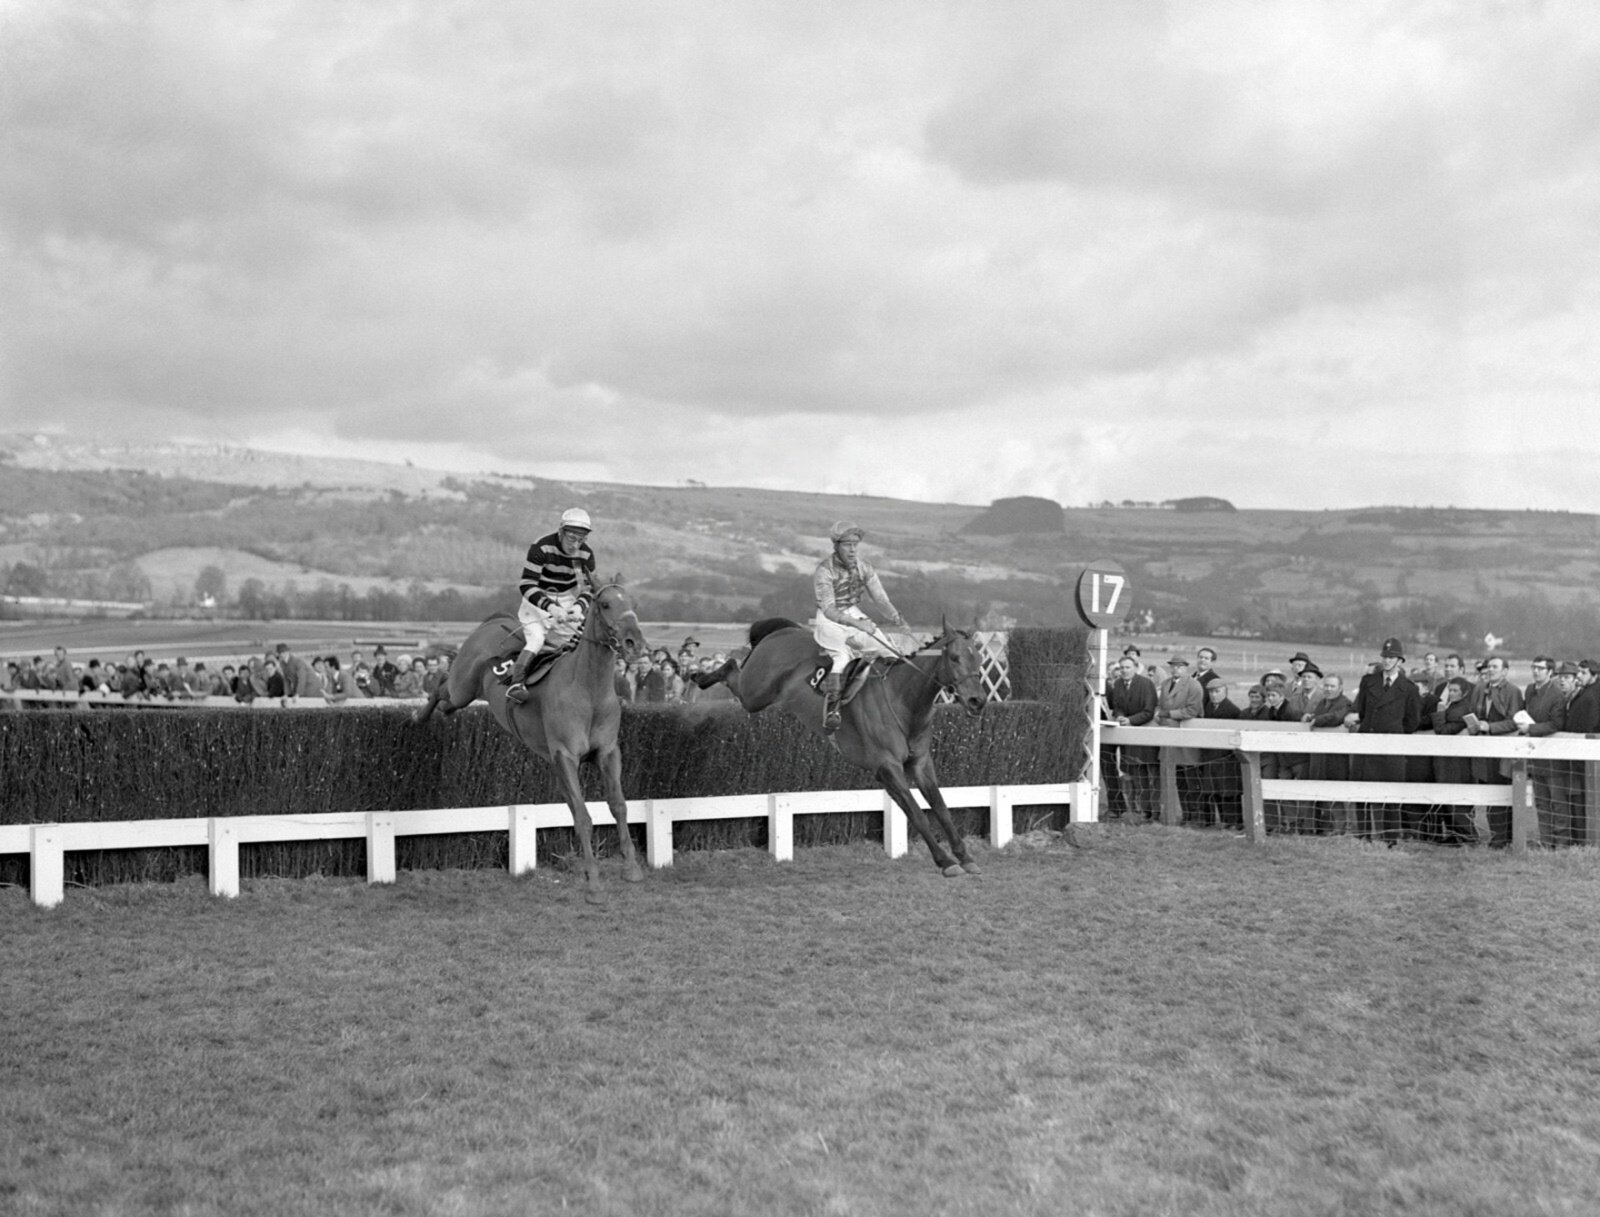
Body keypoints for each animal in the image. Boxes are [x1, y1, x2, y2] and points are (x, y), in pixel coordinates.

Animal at [413, 582, 648, 903]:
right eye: (606, 604)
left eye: (633, 604)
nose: (634, 643)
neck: (589, 691)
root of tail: (492, 622)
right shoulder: (564, 756)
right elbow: (582, 816)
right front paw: (593, 882)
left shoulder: (609, 753)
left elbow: (619, 806)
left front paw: (632, 869)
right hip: (462, 687)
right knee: (440, 684)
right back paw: (419, 716)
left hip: (464, 696)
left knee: (445, 700)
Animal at [693, 617, 989, 876]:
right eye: (954, 658)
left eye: (979, 659)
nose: (978, 701)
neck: (904, 702)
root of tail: (783, 630)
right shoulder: (887, 769)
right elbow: (917, 814)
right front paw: (945, 861)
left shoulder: (920, 764)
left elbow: (941, 808)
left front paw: (965, 857)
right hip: (754, 693)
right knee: (731, 667)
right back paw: (700, 676)